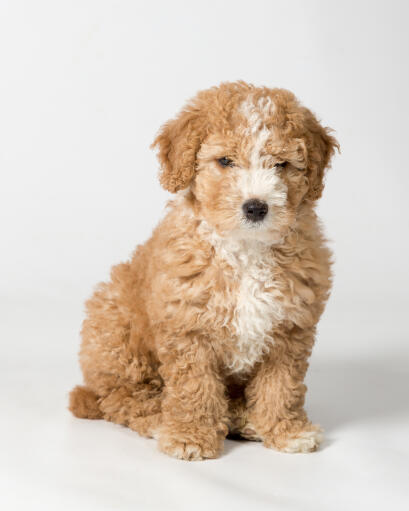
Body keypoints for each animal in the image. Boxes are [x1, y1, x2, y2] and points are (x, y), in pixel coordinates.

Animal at [69, 82, 338, 462]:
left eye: (281, 164)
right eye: (225, 161)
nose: (255, 207)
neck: (245, 250)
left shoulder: (290, 328)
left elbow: (282, 385)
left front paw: (286, 431)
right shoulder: (188, 328)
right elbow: (194, 387)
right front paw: (190, 436)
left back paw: (244, 418)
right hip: (114, 328)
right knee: (121, 397)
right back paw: (157, 418)